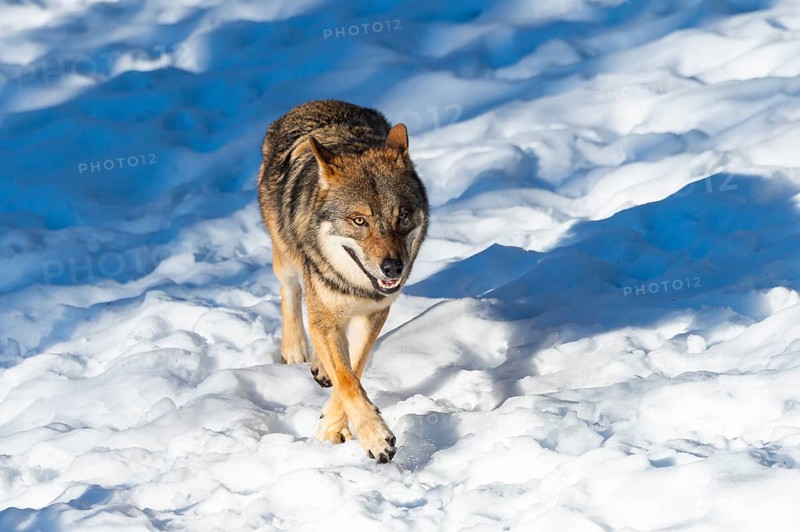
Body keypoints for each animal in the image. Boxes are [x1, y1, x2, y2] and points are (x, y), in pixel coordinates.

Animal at [257, 100, 429, 463]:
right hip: (286, 260)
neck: (356, 285)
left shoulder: (373, 314)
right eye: (359, 220)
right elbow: (347, 379)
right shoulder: (326, 312)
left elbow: (353, 370)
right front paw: (375, 437)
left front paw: (334, 427)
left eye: (403, 216)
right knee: (289, 290)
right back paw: (294, 348)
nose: (393, 267)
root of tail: (316, 102)